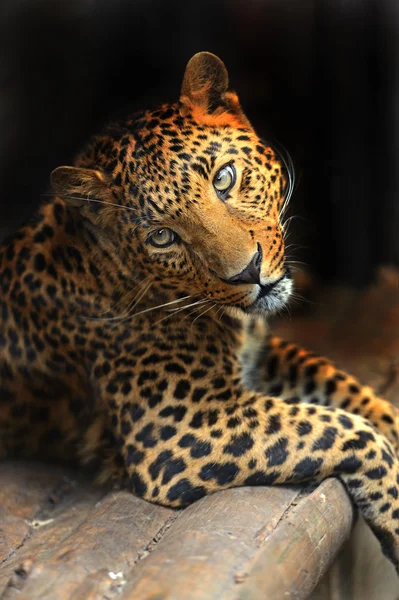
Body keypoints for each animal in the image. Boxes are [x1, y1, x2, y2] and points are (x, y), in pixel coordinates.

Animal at [0, 51, 399, 572]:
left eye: (224, 178)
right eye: (161, 236)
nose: (248, 272)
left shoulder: (259, 357)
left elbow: (345, 389)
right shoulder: (177, 426)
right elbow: (343, 429)